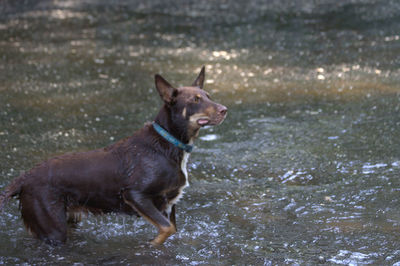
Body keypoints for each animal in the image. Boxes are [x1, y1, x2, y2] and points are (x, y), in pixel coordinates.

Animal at [0, 67, 228, 245]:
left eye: (208, 96)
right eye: (195, 100)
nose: (225, 109)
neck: (169, 143)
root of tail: (23, 179)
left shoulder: (169, 204)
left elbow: (172, 229)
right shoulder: (136, 195)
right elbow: (166, 229)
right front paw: (149, 244)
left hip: (68, 219)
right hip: (53, 227)